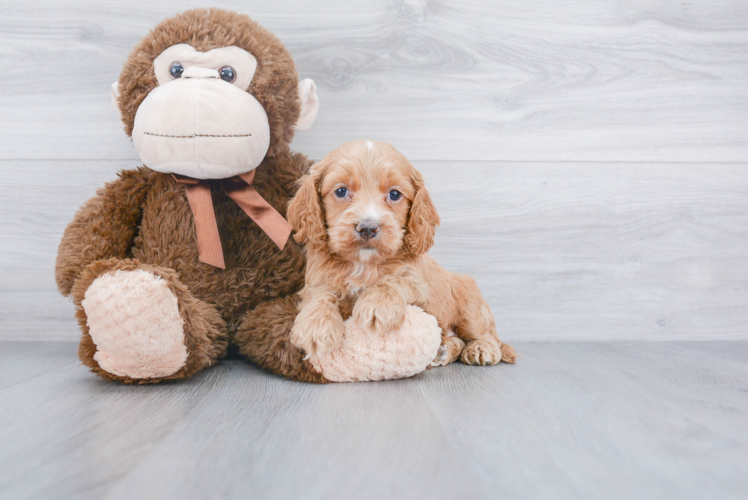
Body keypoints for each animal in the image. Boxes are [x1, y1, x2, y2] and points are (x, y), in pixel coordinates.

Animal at [284, 139, 516, 366]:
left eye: (394, 194)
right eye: (341, 191)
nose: (368, 227)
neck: (364, 264)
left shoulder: (418, 284)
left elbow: (393, 280)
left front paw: (377, 306)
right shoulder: (317, 280)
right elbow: (320, 295)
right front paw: (316, 327)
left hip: (470, 306)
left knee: (486, 335)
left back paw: (481, 349)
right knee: (456, 339)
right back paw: (443, 351)